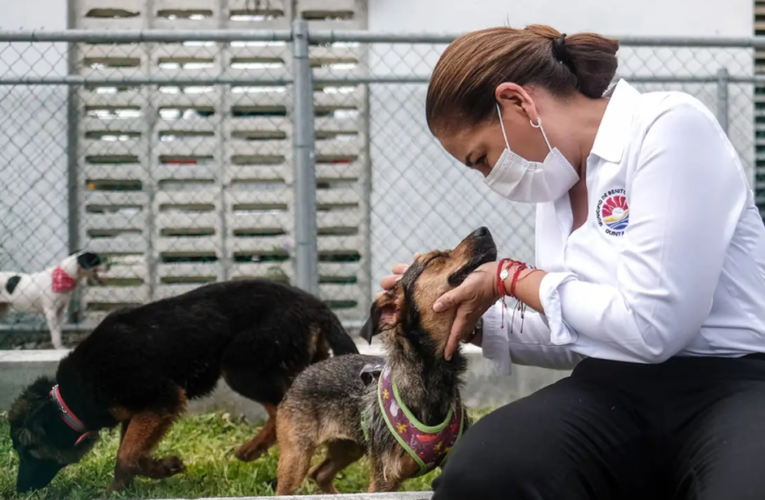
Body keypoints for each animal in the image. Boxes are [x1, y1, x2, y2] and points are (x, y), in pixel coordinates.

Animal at [6, 280, 358, 494]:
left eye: (28, 450)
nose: (20, 490)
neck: (69, 400)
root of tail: (315, 305)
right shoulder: (140, 412)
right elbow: (133, 452)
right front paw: (161, 468)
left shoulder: (163, 397)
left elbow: (126, 455)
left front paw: (114, 492)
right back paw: (253, 450)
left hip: (239, 367)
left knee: (282, 409)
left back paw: (259, 453)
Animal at [274, 228, 496, 496]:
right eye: (434, 259)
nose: (484, 230)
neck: (431, 374)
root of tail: (305, 372)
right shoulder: (384, 480)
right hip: (296, 457)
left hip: (350, 447)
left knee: (320, 472)